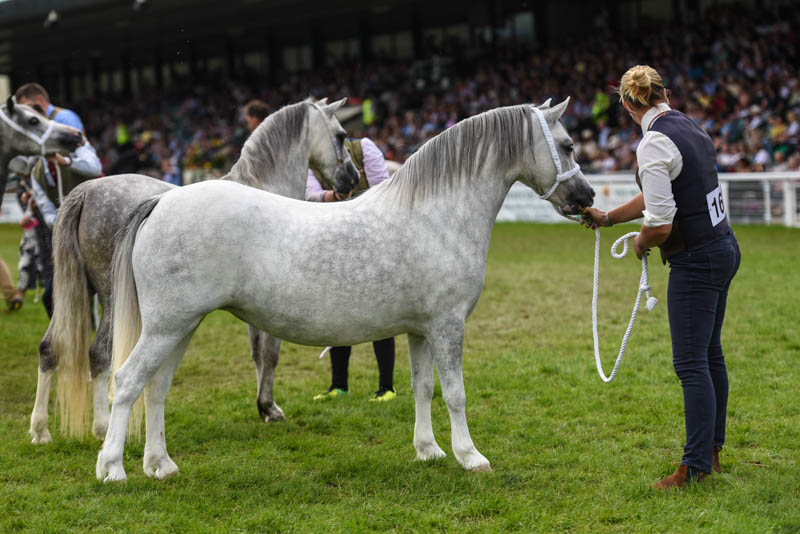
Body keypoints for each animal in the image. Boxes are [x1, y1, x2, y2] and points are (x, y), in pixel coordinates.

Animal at [30, 98, 356, 446]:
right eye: (340, 134)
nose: (351, 179)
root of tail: (87, 191)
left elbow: (257, 354)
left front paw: (263, 407)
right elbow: (269, 354)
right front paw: (269, 408)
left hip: (76, 294)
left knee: (49, 349)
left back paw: (41, 429)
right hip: (111, 299)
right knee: (99, 354)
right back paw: (103, 427)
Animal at [97, 98, 592, 484]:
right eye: (568, 145)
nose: (586, 196)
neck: (435, 213)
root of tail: (161, 201)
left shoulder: (420, 330)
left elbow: (423, 388)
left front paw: (428, 451)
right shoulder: (447, 326)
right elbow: (455, 393)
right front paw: (471, 457)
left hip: (181, 327)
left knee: (156, 387)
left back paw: (160, 465)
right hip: (167, 327)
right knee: (127, 381)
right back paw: (112, 468)